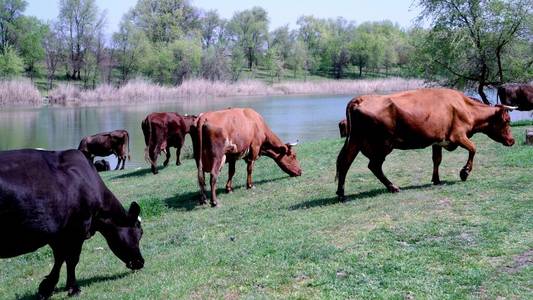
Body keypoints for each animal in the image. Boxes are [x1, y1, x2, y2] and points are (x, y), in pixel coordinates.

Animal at [0, 149, 144, 298]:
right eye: (140, 233)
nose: (141, 262)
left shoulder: (58, 234)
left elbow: (60, 258)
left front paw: (46, 287)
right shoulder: (77, 228)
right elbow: (72, 259)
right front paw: (73, 288)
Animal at [336, 88, 516, 202]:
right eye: (507, 121)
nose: (512, 141)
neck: (465, 107)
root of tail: (360, 98)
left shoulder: (438, 140)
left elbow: (437, 159)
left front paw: (436, 179)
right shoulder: (458, 135)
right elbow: (473, 148)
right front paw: (464, 173)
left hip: (355, 141)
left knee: (344, 163)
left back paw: (341, 194)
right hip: (382, 145)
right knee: (373, 166)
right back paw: (393, 187)